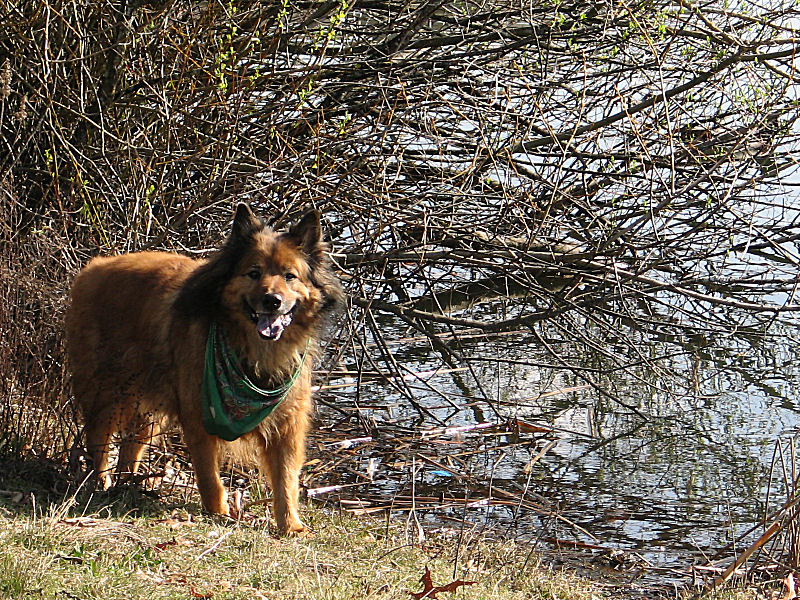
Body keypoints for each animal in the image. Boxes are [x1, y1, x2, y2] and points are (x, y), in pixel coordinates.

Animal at [66, 206, 344, 536]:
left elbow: (286, 480)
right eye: (254, 273)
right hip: (109, 393)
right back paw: (101, 481)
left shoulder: (287, 424)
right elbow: (210, 476)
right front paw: (219, 513)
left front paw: (290, 525)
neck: (254, 352)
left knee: (132, 445)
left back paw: (128, 482)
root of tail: (93, 267)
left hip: (149, 408)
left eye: (290, 276)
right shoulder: (199, 418)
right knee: (100, 438)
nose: (272, 301)